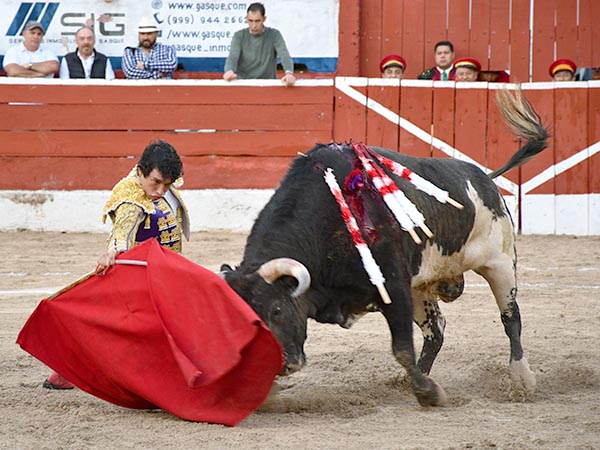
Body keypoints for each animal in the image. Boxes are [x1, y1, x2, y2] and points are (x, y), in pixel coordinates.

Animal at [221, 89, 548, 408]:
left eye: (276, 310)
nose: (282, 365)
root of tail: (484, 178)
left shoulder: (393, 285)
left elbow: (401, 347)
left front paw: (429, 395)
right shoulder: (400, 288)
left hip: (500, 262)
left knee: (510, 318)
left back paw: (521, 380)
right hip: (422, 285)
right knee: (436, 331)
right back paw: (411, 380)